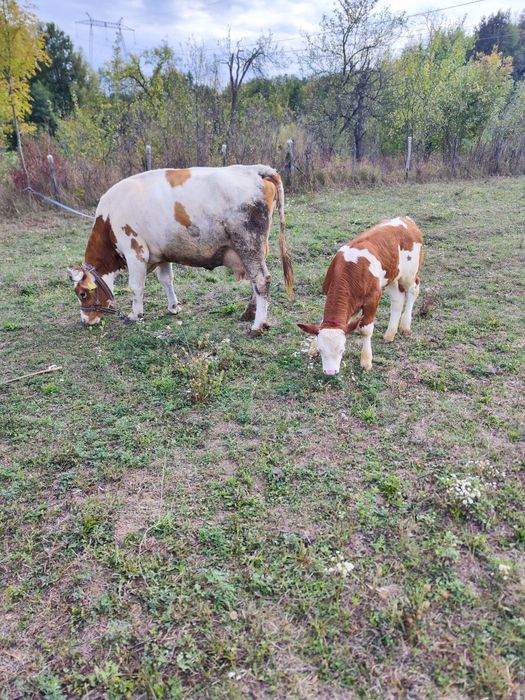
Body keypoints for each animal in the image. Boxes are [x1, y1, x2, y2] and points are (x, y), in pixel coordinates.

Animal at [67, 165, 294, 334]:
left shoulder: (136, 252)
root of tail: (255, 169)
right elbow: (167, 280)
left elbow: (135, 287)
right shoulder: (161, 253)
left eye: (82, 294)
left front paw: (135, 315)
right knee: (255, 281)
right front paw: (173, 307)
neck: (109, 218)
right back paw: (249, 313)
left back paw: (257, 325)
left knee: (261, 280)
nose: (85, 320)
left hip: (248, 243)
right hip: (255, 249)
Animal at [298, 217, 424, 375]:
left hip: (409, 273)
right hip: (391, 276)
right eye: (321, 350)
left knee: (414, 289)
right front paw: (313, 347)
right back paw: (390, 334)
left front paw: (366, 360)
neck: (349, 271)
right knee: (398, 298)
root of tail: (406, 219)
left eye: (342, 350)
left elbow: (365, 330)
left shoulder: (373, 298)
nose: (330, 372)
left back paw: (405, 326)